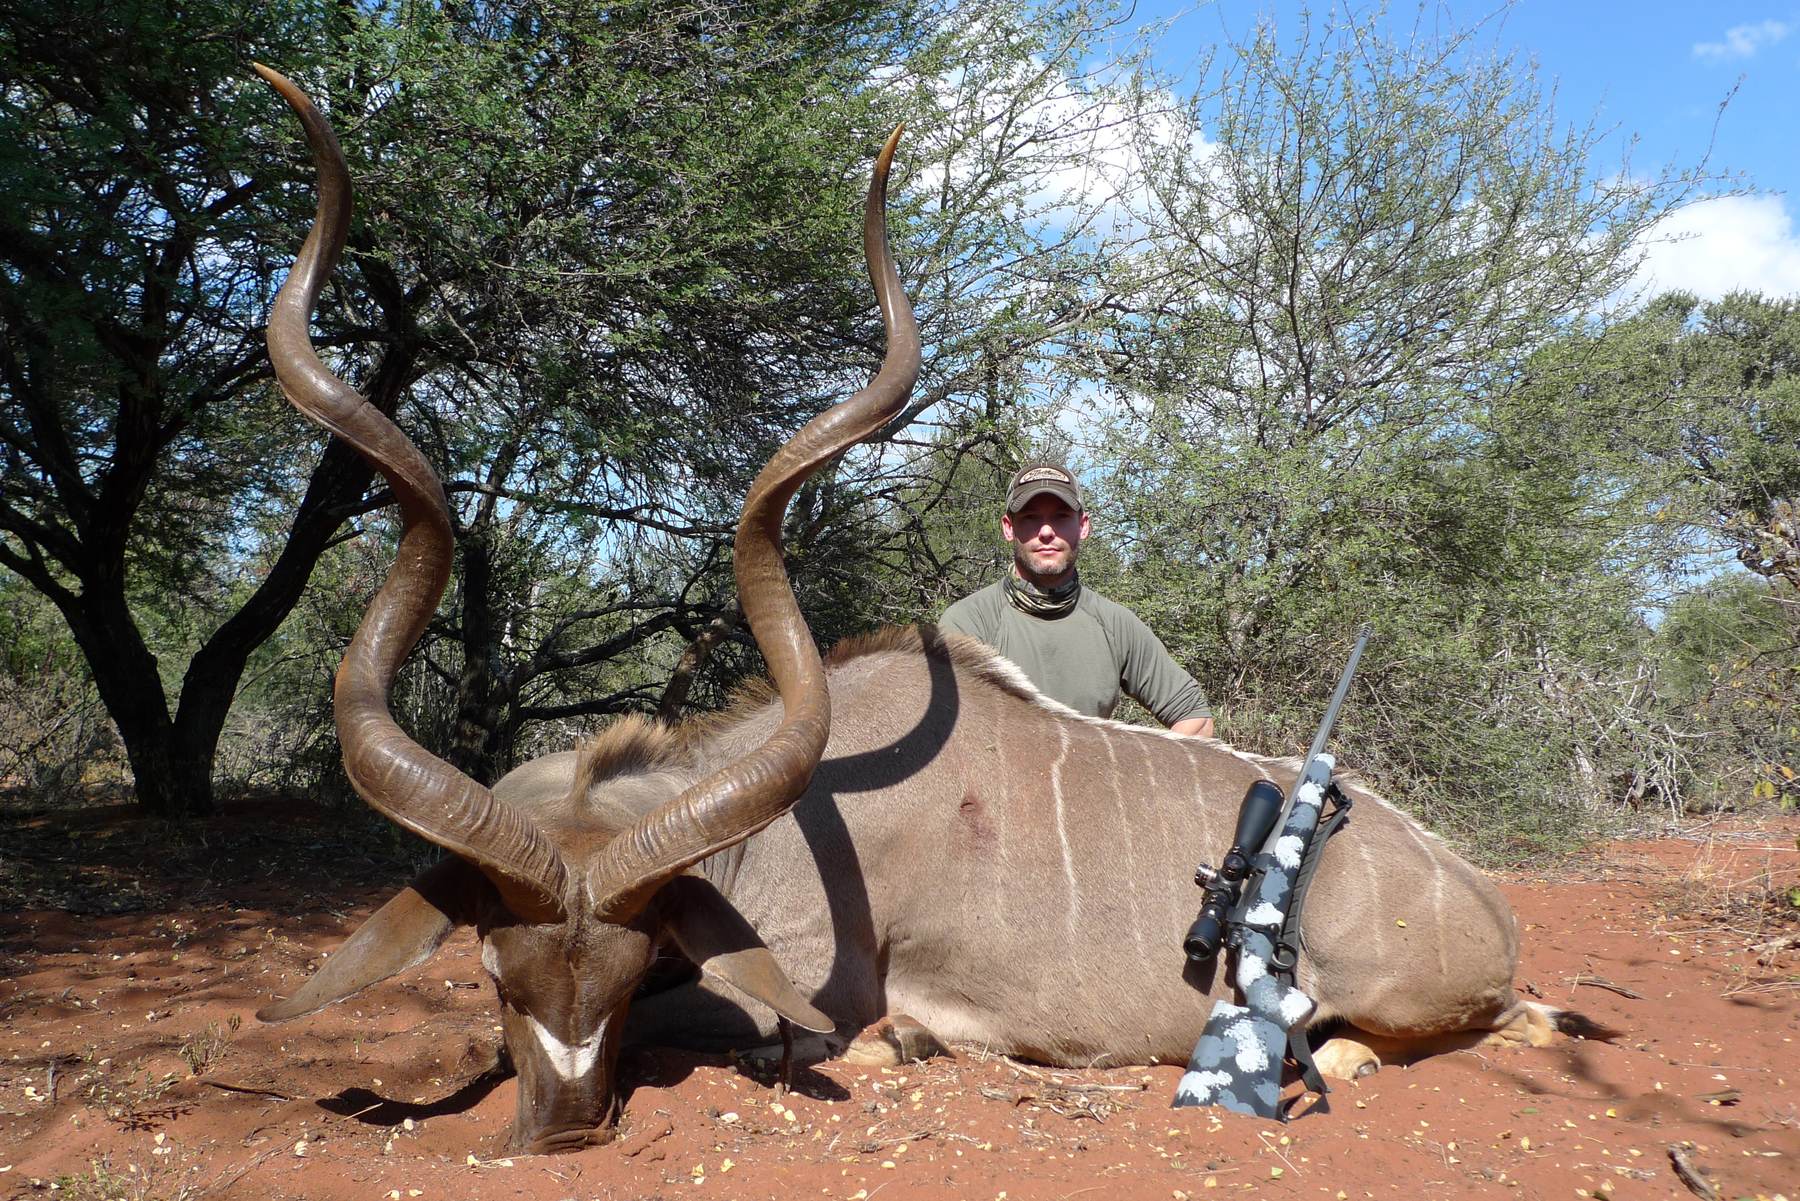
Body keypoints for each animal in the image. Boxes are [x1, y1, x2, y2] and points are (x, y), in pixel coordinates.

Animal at [252, 66, 1591, 1156]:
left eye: (627, 973)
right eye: (493, 965)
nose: (567, 1126)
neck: (761, 827)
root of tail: (1487, 903)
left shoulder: (794, 986)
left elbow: (781, 1031)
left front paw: (900, 1039)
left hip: (1412, 1000)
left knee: (1468, 1029)